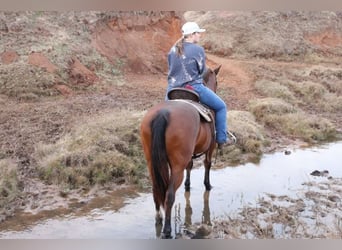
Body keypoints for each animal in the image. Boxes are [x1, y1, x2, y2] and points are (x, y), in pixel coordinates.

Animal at [140, 65, 222, 237]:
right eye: (216, 81)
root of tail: (163, 113)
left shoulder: (189, 154)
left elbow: (190, 166)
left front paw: (188, 185)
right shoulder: (210, 147)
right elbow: (207, 164)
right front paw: (207, 184)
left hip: (151, 162)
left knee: (156, 190)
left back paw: (159, 219)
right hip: (177, 167)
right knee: (169, 195)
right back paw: (167, 230)